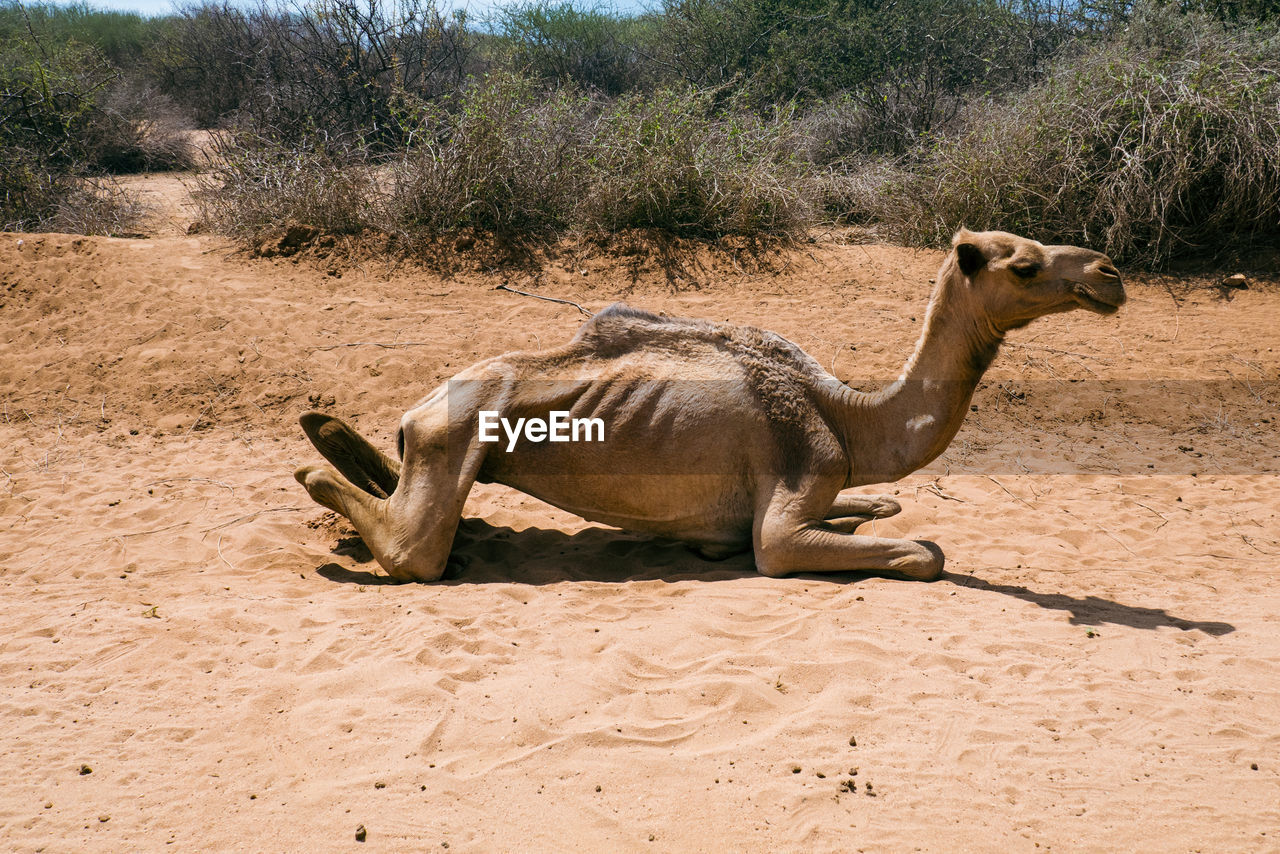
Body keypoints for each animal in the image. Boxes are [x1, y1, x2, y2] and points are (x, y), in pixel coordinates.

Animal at [294, 230, 1126, 583]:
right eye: (1024, 265)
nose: (1111, 273)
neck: (847, 414)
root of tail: (421, 407)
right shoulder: (789, 501)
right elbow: (921, 551)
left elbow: (879, 508)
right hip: (453, 443)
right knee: (412, 550)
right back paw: (318, 463)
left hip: (438, 444)